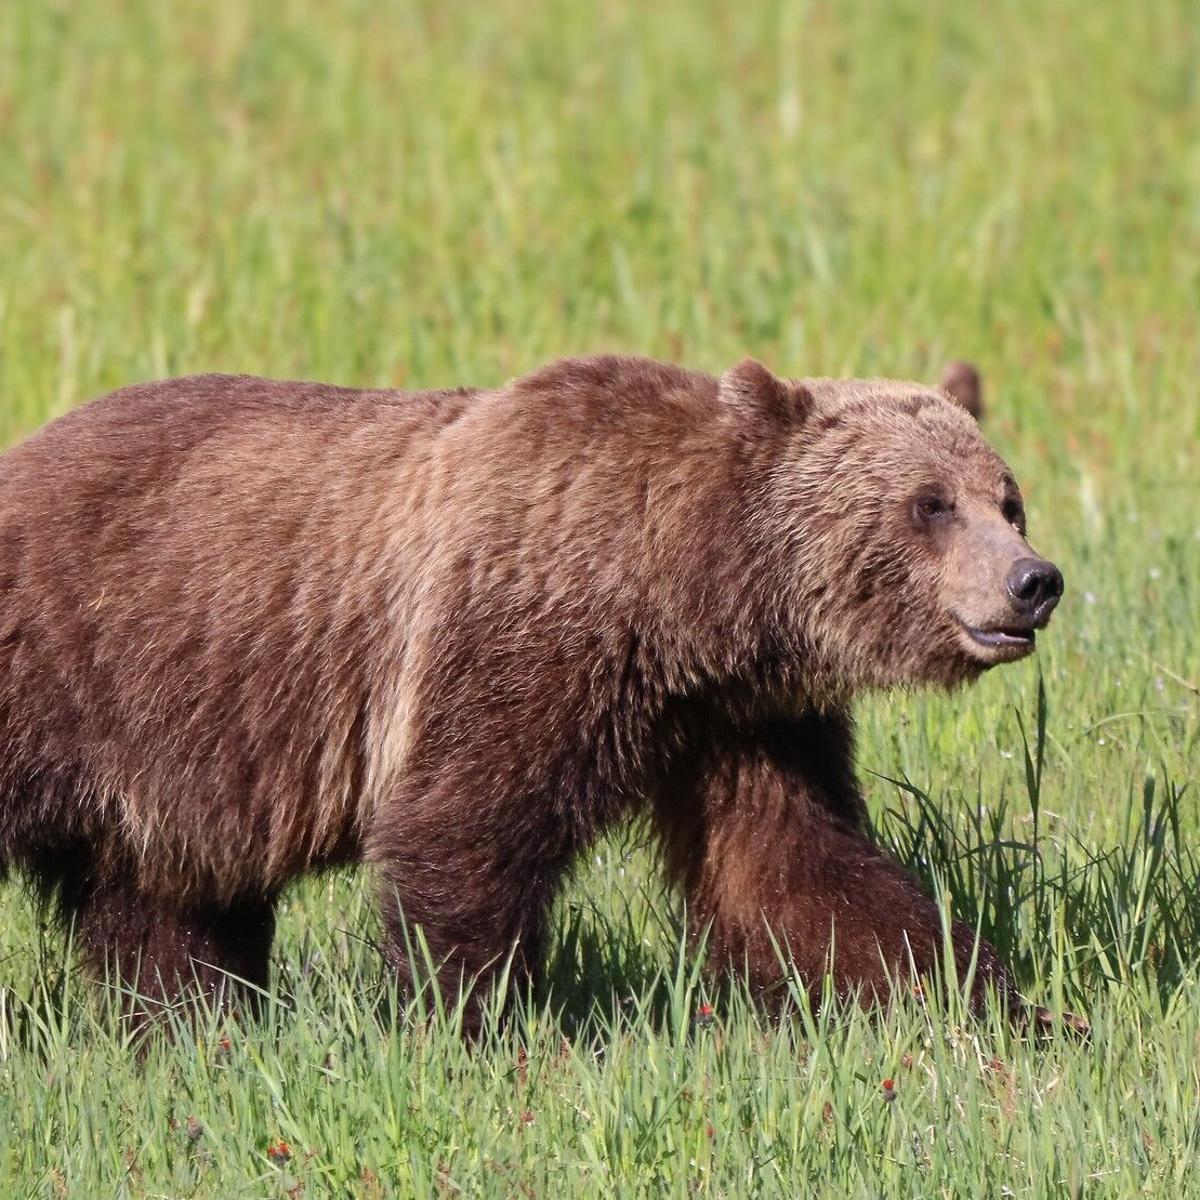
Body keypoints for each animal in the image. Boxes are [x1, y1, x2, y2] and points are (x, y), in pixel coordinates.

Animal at [0, 354, 1064, 1032]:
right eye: (930, 504)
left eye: (1008, 499)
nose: (1034, 582)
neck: (684, 600)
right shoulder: (525, 639)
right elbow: (461, 832)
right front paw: (469, 1023)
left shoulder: (738, 717)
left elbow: (794, 869)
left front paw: (999, 1008)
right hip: (69, 664)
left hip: (170, 756)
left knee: (162, 907)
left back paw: (189, 1028)